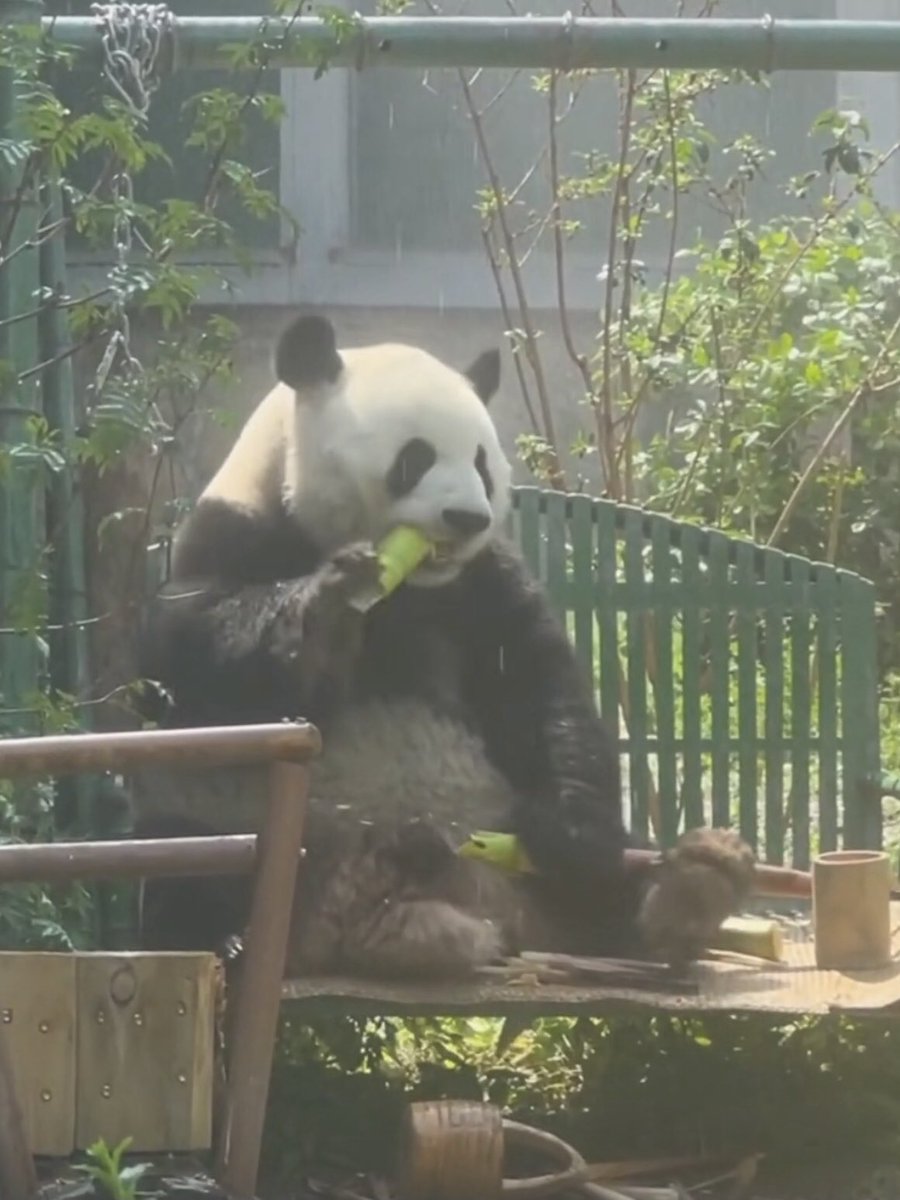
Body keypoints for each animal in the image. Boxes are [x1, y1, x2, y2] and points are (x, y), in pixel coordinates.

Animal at [134, 312, 756, 979]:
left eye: (482, 461)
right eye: (415, 457)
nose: (467, 519)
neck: (409, 582)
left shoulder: (485, 580)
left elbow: (537, 684)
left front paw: (573, 833)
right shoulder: (233, 534)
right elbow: (194, 658)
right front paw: (327, 616)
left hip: (503, 824)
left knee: (609, 879)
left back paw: (687, 889)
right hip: (234, 823)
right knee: (186, 848)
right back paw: (228, 937)